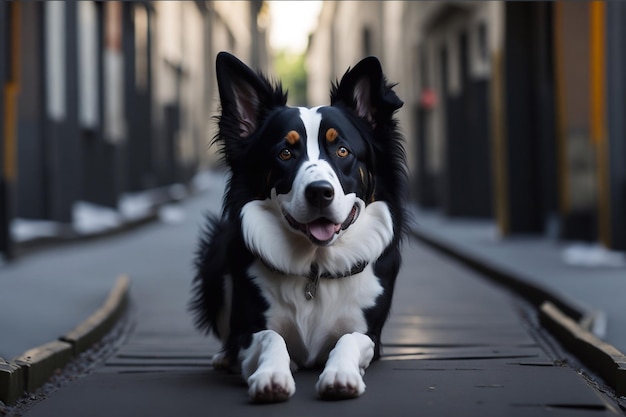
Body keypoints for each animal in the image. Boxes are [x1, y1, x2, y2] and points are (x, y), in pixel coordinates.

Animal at [189, 50, 404, 402]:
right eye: (285, 153)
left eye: (342, 150)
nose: (319, 192)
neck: (314, 268)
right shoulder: (248, 333)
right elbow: (269, 337)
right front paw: (271, 375)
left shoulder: (369, 334)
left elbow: (350, 339)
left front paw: (340, 374)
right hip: (214, 253)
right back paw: (223, 356)